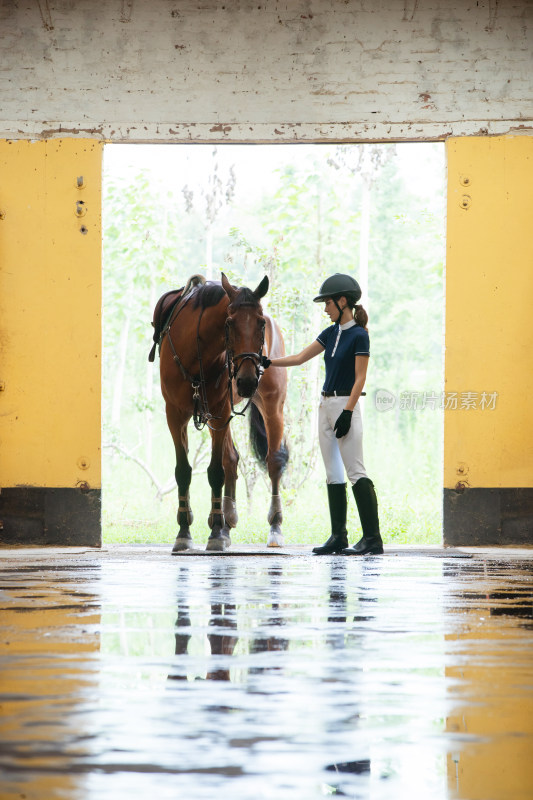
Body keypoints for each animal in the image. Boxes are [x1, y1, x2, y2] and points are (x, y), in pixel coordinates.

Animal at [156, 272, 288, 552]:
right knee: (232, 459)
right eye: (228, 323)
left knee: (273, 461)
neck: (194, 351)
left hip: (272, 406)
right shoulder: (175, 414)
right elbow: (184, 471)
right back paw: (228, 522)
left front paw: (215, 530)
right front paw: (185, 531)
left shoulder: (219, 409)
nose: (247, 381)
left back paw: (274, 525)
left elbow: (216, 471)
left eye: (261, 323)